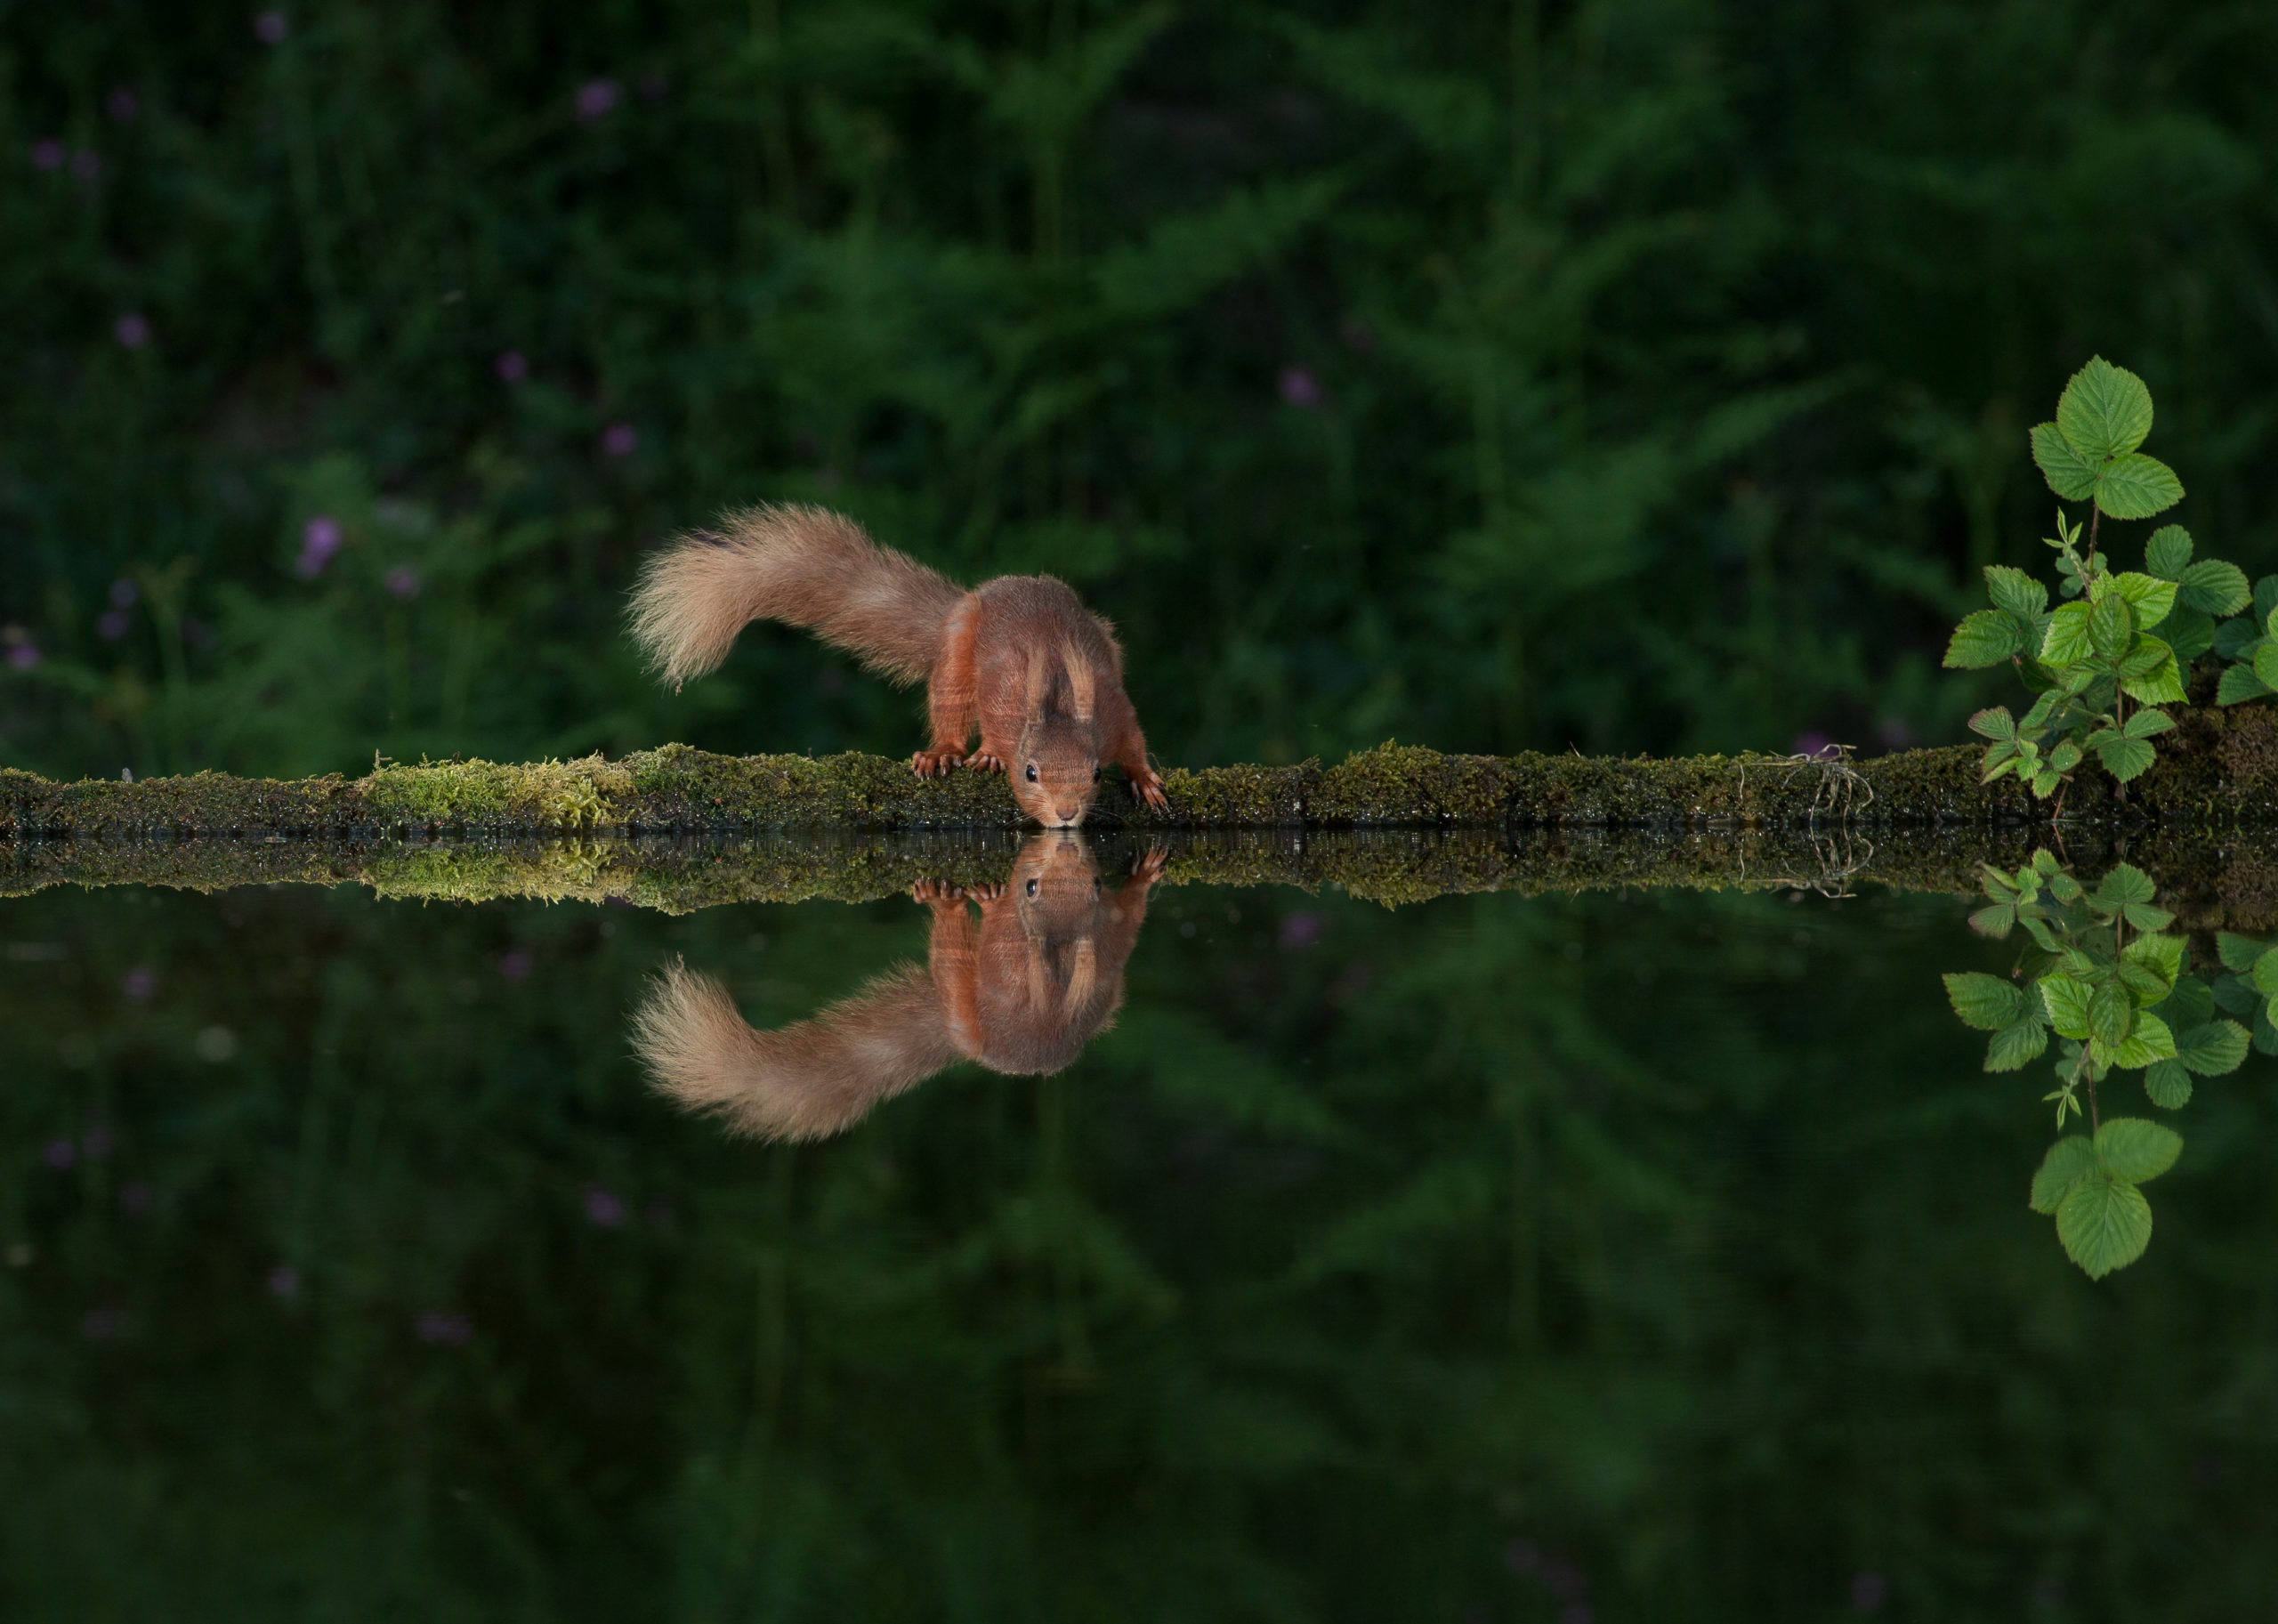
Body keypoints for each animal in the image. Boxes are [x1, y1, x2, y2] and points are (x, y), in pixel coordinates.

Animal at [624, 503, 1166, 824]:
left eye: (1095, 775)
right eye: (1029, 773)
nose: (1067, 815)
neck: (1056, 692)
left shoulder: (1111, 704)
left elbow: (1132, 737)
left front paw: (1143, 779)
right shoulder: (1004, 686)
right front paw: (991, 754)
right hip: (956, 651)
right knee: (950, 703)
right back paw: (944, 751)